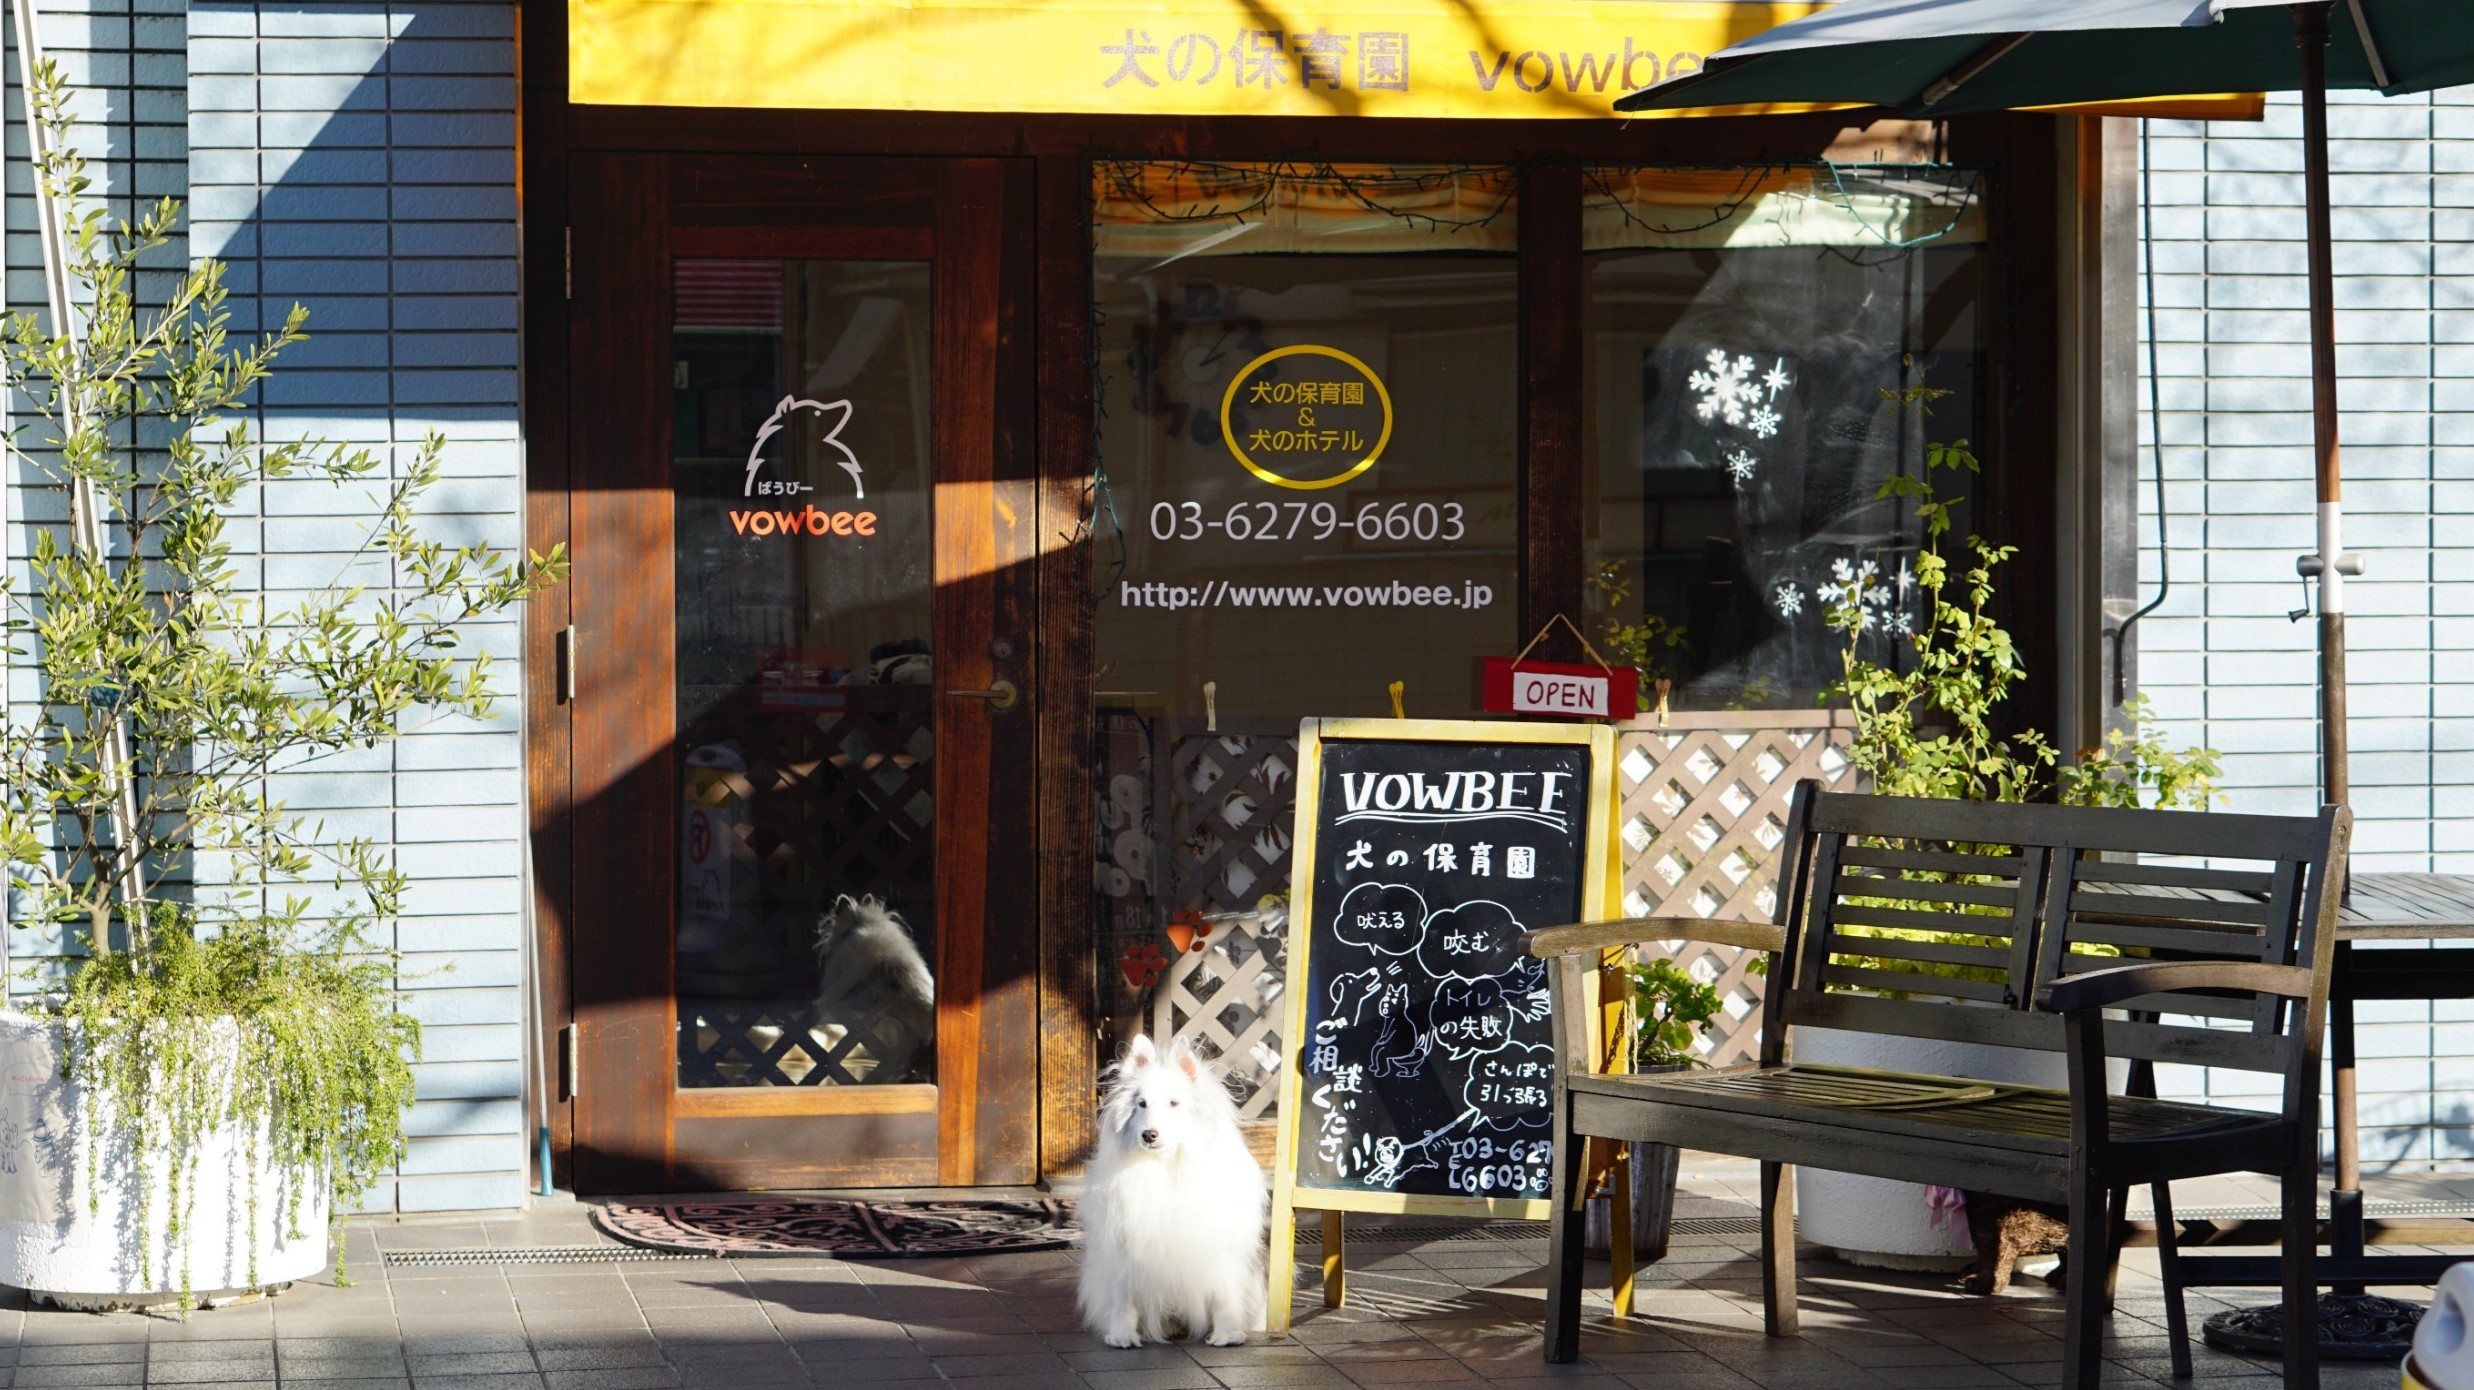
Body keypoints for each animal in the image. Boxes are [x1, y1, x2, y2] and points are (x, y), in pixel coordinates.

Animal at [1078, 1028, 1266, 1345]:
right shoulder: (1124, 1244)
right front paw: (1122, 1335)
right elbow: (1123, 1299)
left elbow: (1224, 1295)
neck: (1166, 1164)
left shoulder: (1219, 1247)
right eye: (1141, 1104)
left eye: (1174, 1103)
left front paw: (1227, 1333)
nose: (1149, 1135)